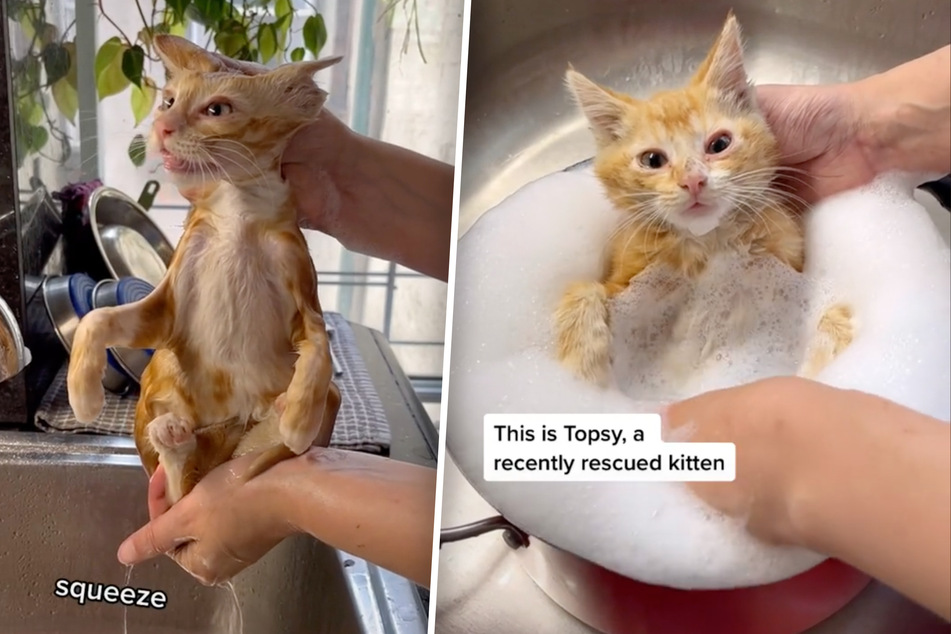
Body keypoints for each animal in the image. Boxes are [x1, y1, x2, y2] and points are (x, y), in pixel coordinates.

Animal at [68, 35, 342, 504]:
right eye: (169, 100)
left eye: (217, 110)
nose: (162, 126)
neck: (238, 215)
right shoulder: (166, 306)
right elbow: (95, 318)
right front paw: (83, 396)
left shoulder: (305, 299)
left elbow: (320, 352)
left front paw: (300, 421)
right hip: (164, 399)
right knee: (180, 484)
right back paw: (172, 436)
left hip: (278, 424)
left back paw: (281, 412)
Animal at [552, 12, 856, 382]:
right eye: (652, 160)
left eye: (719, 144)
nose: (693, 180)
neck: (709, 246)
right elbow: (584, 289)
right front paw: (583, 361)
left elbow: (830, 313)